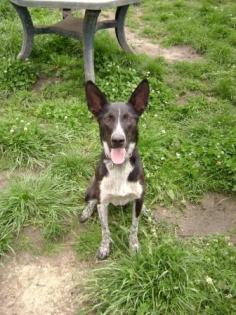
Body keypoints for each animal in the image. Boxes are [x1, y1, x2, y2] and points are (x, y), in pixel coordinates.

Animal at [79, 78, 149, 260]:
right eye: (107, 119)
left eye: (129, 118)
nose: (118, 140)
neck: (119, 167)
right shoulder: (103, 202)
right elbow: (105, 230)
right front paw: (105, 247)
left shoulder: (138, 199)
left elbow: (134, 227)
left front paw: (134, 246)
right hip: (91, 188)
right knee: (91, 200)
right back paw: (86, 211)